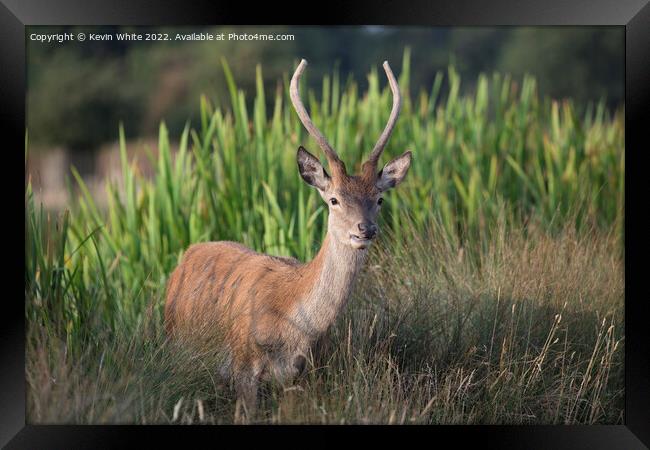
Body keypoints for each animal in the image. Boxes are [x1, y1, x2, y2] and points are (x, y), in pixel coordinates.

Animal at [165, 59, 412, 422]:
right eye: (334, 199)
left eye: (379, 199)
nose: (365, 229)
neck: (292, 326)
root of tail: (185, 257)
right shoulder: (243, 368)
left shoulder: (301, 374)